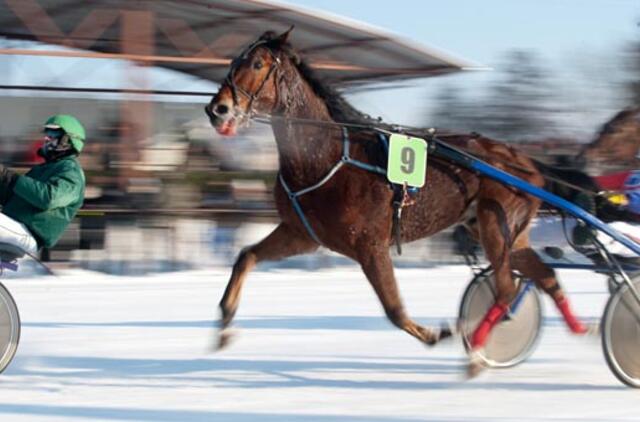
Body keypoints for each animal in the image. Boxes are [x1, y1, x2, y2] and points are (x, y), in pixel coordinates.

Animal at [205, 28, 592, 374]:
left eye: (256, 63)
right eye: (233, 60)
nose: (217, 109)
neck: (326, 157)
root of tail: (525, 162)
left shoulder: (370, 245)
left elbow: (394, 309)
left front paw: (438, 333)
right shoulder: (301, 233)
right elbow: (246, 256)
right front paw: (224, 322)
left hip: (496, 225)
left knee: (507, 290)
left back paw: (476, 352)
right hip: (505, 231)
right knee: (545, 276)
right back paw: (580, 328)